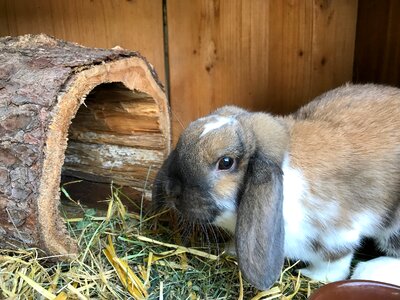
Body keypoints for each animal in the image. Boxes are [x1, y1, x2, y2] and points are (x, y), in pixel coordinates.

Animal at [152, 83, 400, 290]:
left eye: (226, 162)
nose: (171, 190)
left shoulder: (338, 234)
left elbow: (335, 264)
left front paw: (312, 276)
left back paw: (370, 270)